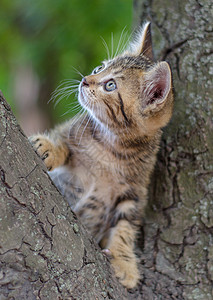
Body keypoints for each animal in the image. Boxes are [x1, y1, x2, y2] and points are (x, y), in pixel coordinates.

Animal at [29, 22, 173, 290]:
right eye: (99, 68)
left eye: (110, 85)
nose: (85, 80)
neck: (111, 146)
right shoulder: (71, 131)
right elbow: (62, 142)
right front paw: (48, 147)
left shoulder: (134, 194)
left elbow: (125, 229)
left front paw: (125, 264)